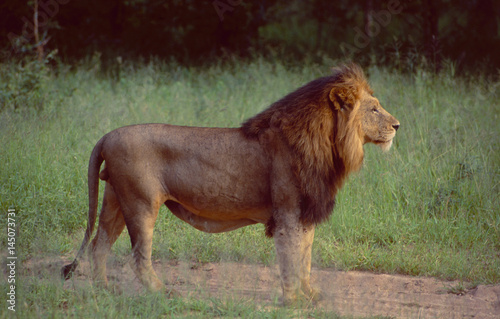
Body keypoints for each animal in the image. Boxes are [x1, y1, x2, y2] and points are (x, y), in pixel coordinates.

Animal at [62, 62, 400, 304]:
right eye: (374, 109)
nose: (398, 125)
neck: (328, 146)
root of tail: (108, 135)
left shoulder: (305, 213)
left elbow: (305, 257)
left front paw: (310, 295)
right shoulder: (288, 213)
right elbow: (290, 257)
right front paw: (292, 300)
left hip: (115, 200)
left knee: (99, 246)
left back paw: (104, 292)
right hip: (141, 204)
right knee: (138, 257)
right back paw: (162, 293)